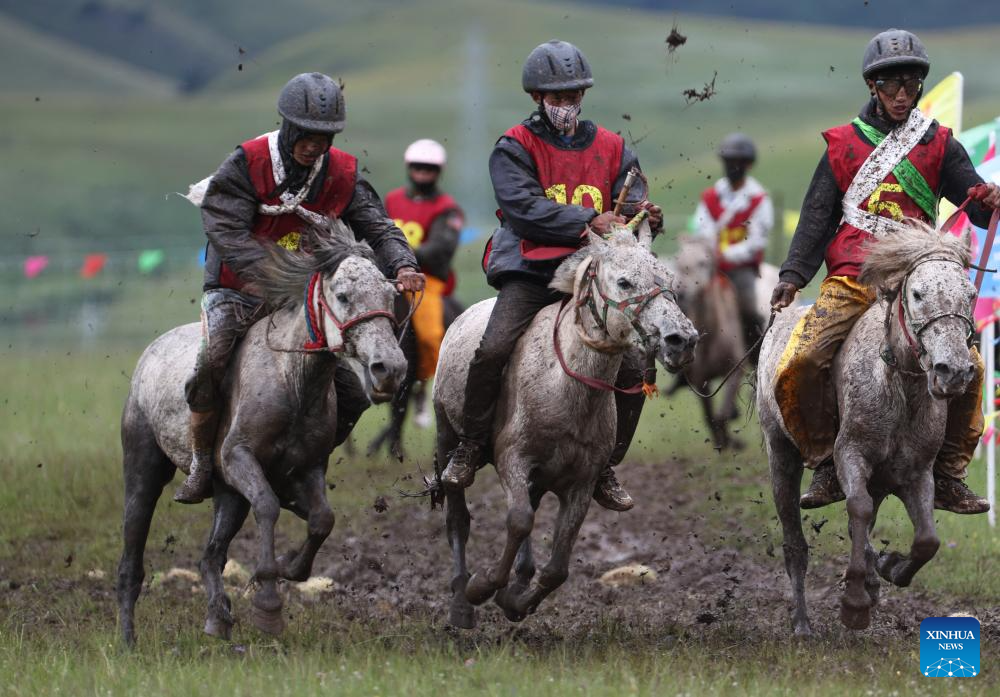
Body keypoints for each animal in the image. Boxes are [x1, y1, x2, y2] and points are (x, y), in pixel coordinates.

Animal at [120, 222, 406, 640]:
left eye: (390, 295)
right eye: (343, 295)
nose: (391, 369)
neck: (291, 380)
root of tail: (148, 355)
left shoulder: (309, 466)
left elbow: (322, 519)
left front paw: (290, 567)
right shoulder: (238, 457)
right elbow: (268, 506)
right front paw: (268, 603)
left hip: (227, 496)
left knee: (211, 556)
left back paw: (218, 618)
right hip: (144, 467)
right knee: (133, 553)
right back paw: (127, 636)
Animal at [434, 223, 700, 624]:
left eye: (669, 279)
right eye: (623, 282)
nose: (681, 339)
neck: (566, 387)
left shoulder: (581, 483)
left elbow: (558, 567)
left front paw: (515, 601)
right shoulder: (513, 458)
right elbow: (519, 520)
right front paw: (483, 586)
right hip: (448, 438)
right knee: (458, 519)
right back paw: (461, 605)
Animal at [760, 224, 972, 636]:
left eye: (970, 294)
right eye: (917, 293)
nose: (953, 371)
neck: (898, 385)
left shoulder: (917, 472)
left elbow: (927, 539)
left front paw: (890, 568)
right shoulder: (851, 455)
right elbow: (857, 509)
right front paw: (854, 603)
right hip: (780, 454)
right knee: (795, 543)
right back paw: (802, 623)